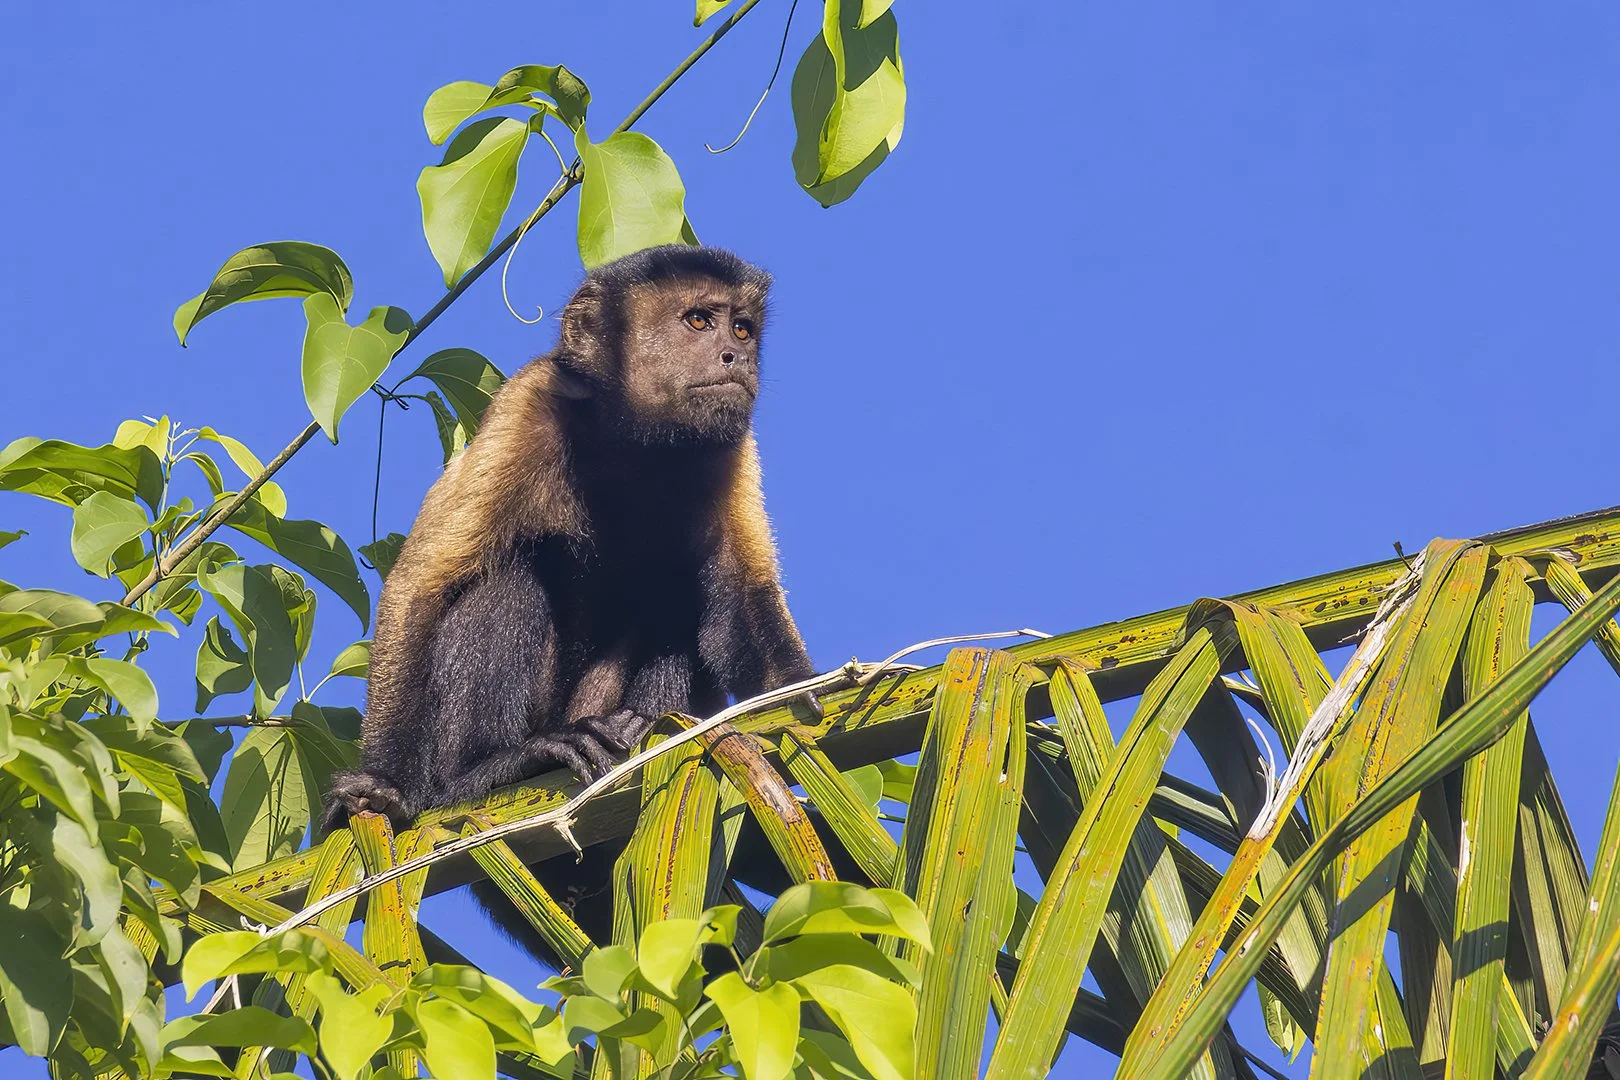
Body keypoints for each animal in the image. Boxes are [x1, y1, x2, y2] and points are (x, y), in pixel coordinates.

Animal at [320, 244, 818, 834]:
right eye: (699, 321)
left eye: (743, 328)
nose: (736, 357)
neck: (635, 438)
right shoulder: (527, 402)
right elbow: (420, 586)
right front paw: (385, 785)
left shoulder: (731, 444)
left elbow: (744, 592)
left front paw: (806, 694)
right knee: (507, 579)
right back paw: (494, 766)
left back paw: (639, 727)